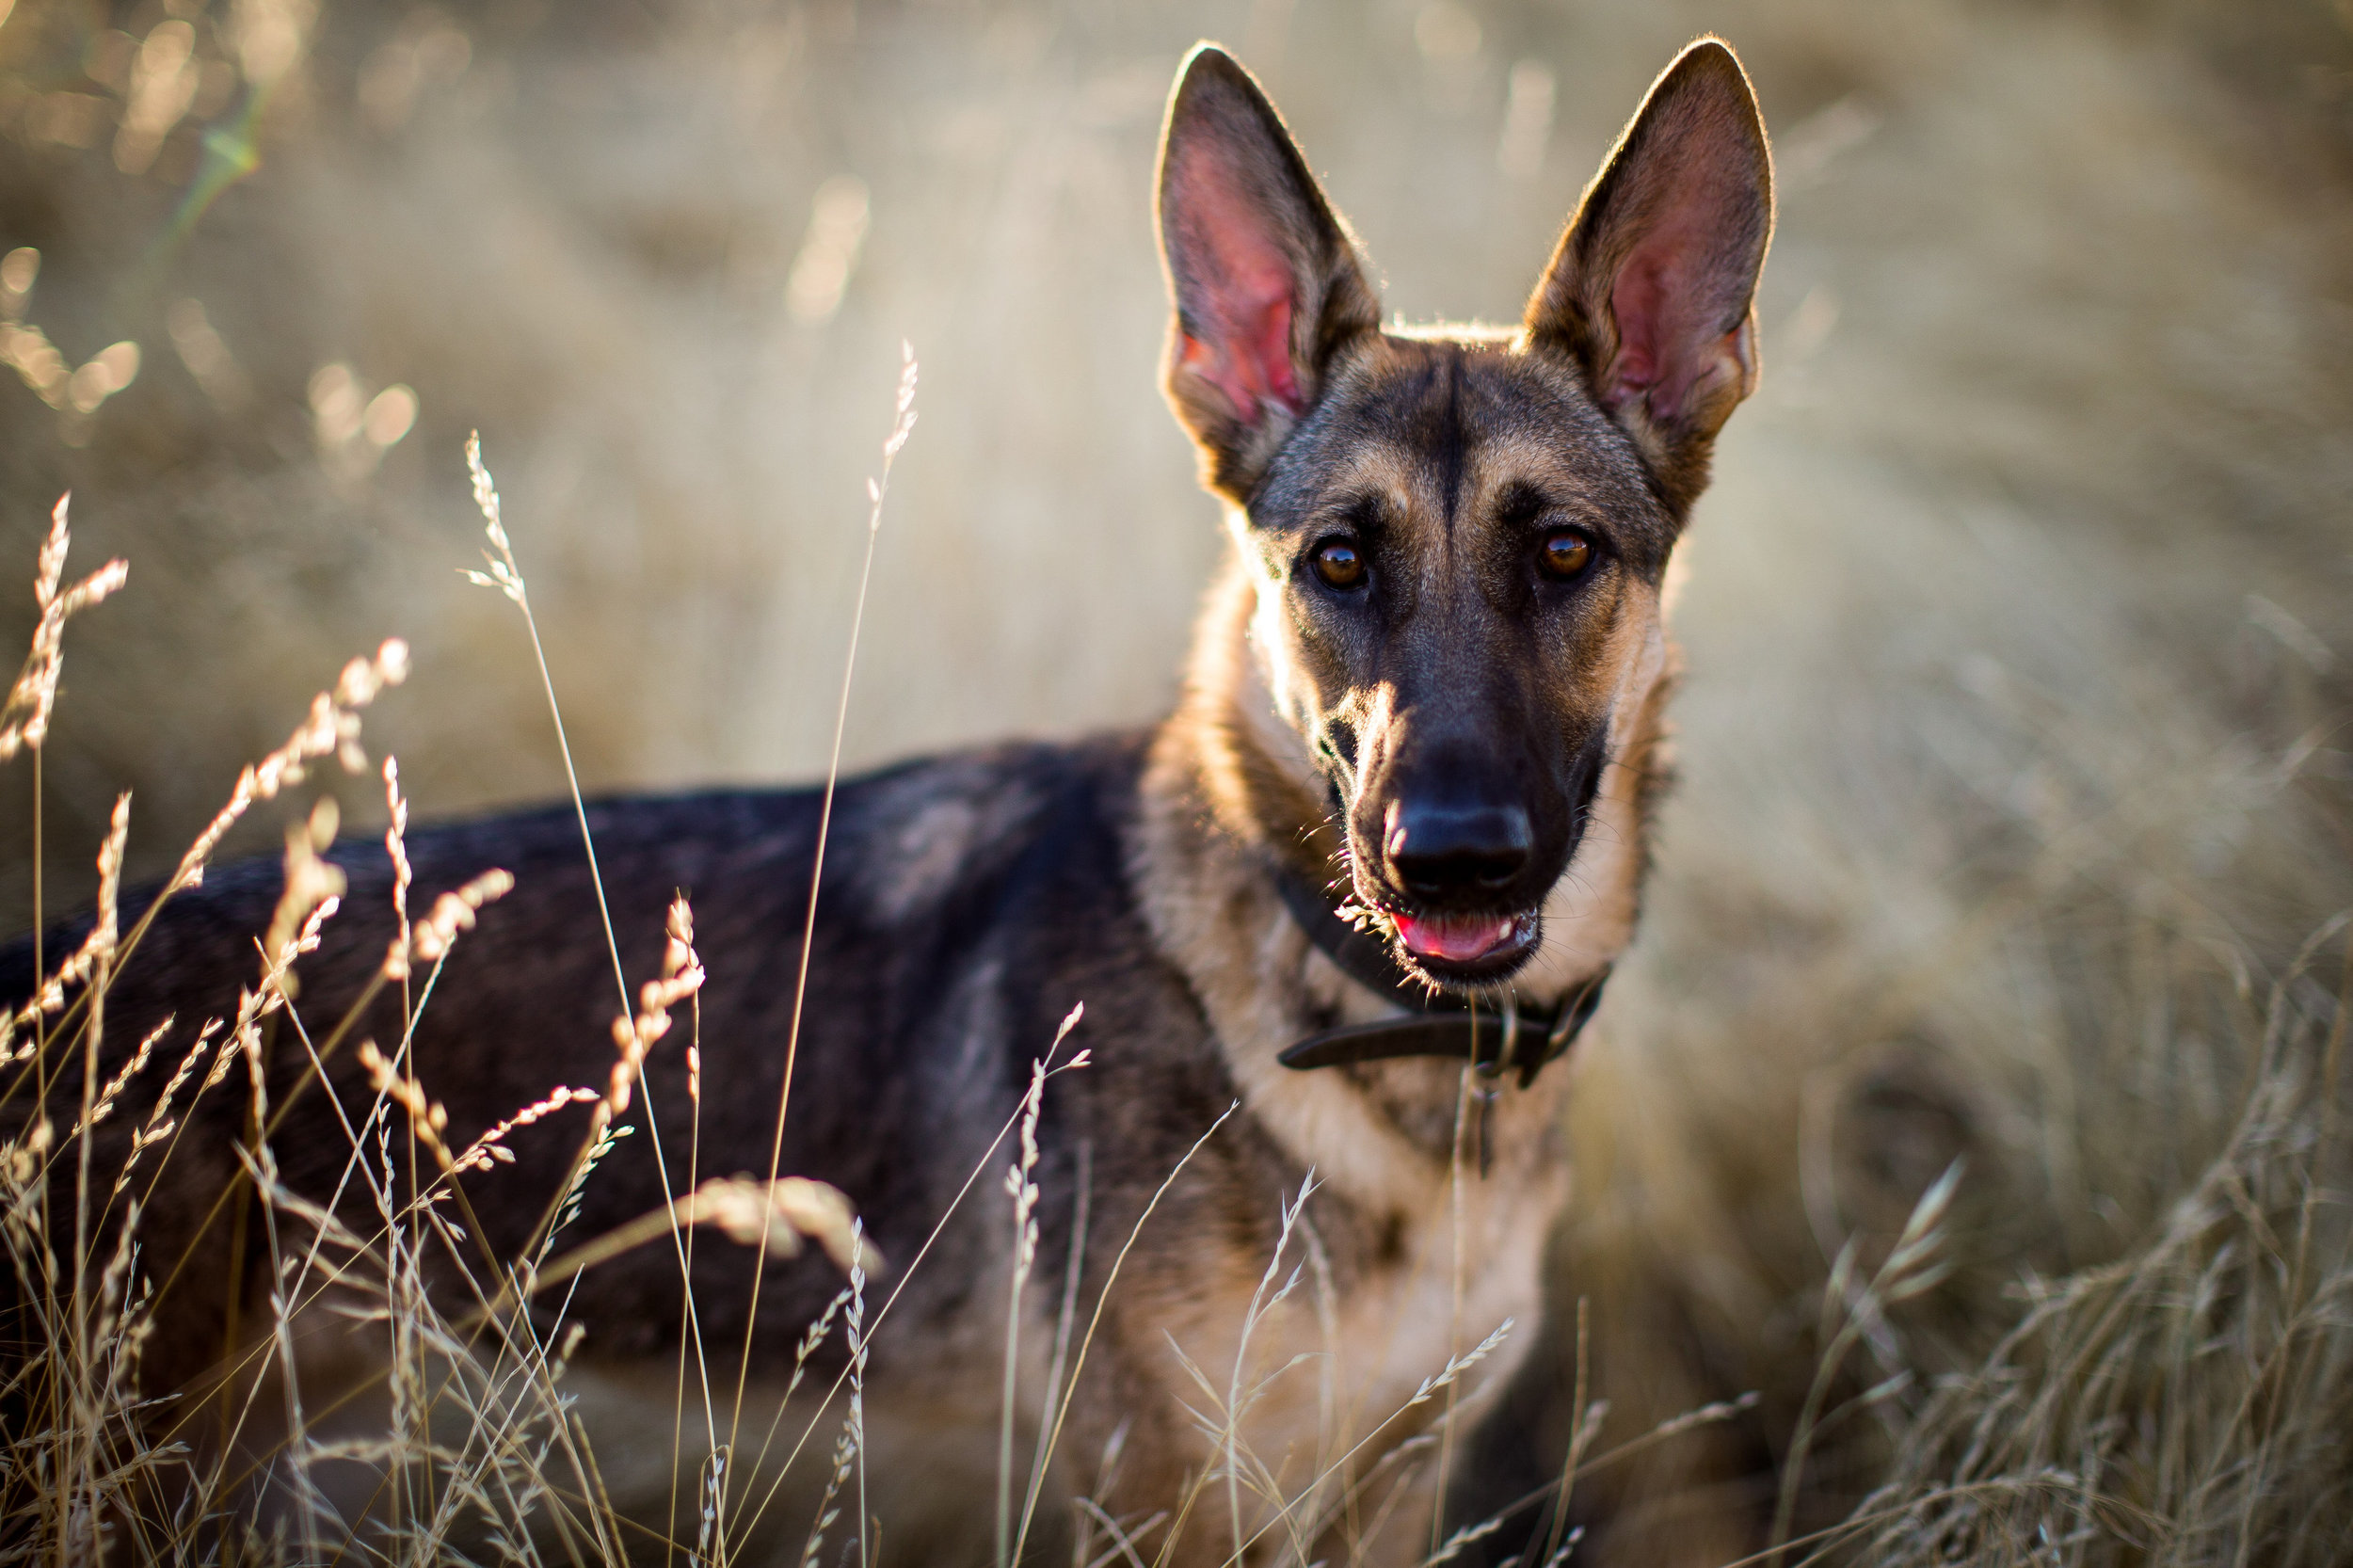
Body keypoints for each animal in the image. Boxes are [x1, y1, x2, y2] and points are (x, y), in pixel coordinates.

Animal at [0, 36, 1769, 1562]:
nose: (1450, 863)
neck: (1380, 1046)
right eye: (1340, 562)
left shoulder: (1390, 1484)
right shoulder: (1163, 1494)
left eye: (1565, 554)